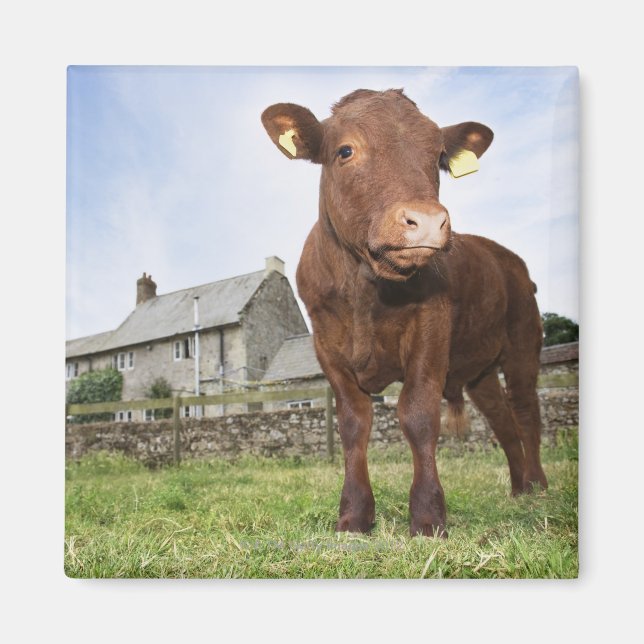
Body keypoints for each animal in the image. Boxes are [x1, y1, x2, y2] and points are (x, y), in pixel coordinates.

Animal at [261, 88, 547, 537]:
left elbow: (417, 414)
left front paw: (428, 518)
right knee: (502, 420)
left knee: (525, 412)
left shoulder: (430, 329)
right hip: (481, 370)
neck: (365, 287)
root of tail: (508, 257)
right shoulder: (326, 345)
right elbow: (353, 423)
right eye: (345, 150)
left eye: (438, 157)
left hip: (522, 344)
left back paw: (536, 488)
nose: (427, 220)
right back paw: (518, 488)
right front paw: (354, 517)